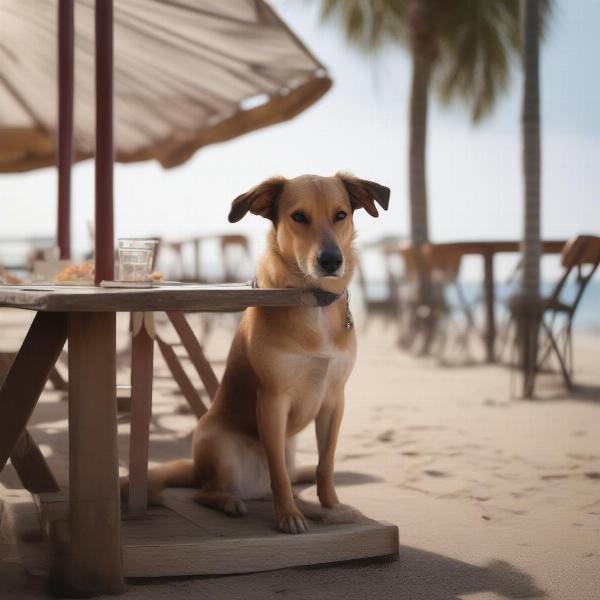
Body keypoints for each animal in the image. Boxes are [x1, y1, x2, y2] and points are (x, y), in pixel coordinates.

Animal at [124, 173, 392, 536]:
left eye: (341, 215)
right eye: (299, 217)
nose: (331, 260)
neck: (312, 303)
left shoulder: (335, 401)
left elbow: (326, 464)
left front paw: (332, 507)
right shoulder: (272, 399)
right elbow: (278, 472)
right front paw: (289, 515)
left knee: (292, 474)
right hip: (221, 448)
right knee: (205, 492)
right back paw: (230, 502)